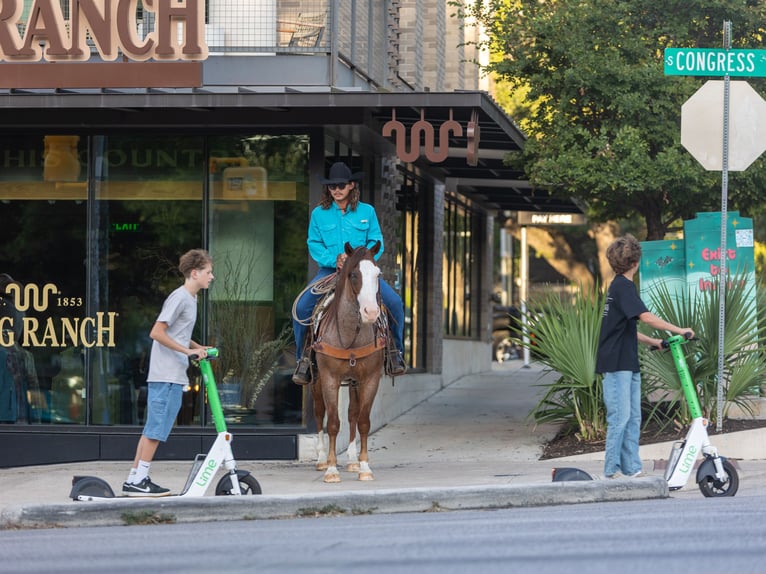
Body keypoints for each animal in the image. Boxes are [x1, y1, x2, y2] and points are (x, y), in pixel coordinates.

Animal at [308, 241, 388, 484]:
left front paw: (364, 467)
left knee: (352, 413)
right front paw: (331, 470)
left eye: (378, 274)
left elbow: (362, 421)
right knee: (319, 412)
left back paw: (352, 460)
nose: (371, 312)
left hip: (354, 381)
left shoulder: (370, 379)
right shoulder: (329, 378)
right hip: (315, 381)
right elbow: (333, 422)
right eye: (353, 274)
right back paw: (321, 459)